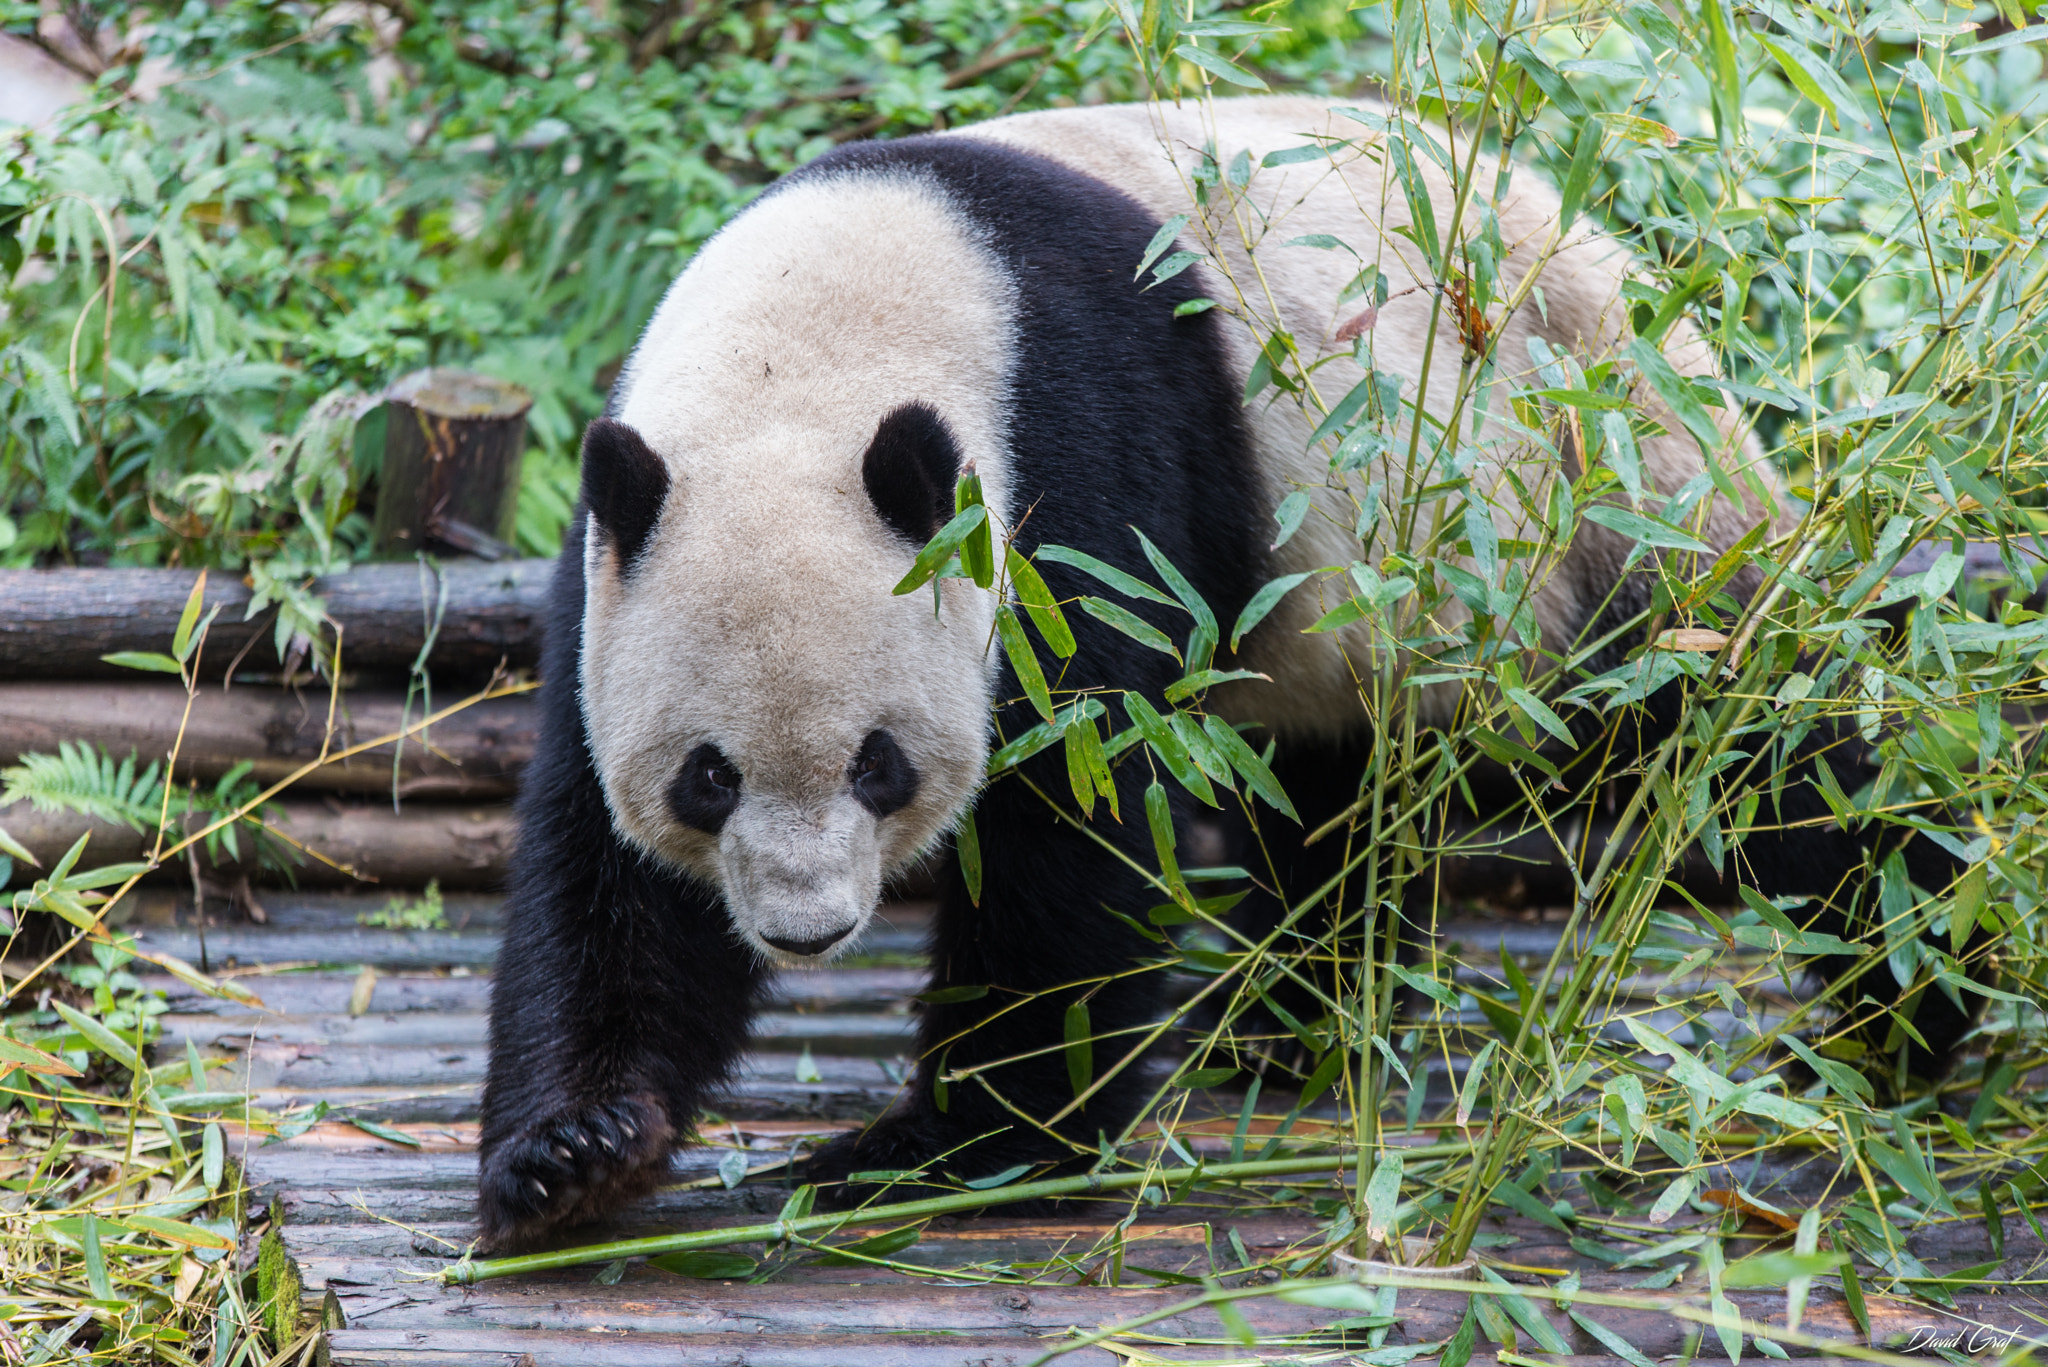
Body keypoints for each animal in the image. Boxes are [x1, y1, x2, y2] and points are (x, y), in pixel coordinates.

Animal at [475, 98, 1966, 1254]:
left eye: (878, 765)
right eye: (707, 777)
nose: (803, 930)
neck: (818, 346)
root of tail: (1600, 244)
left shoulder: (1074, 469)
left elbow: (1072, 823)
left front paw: (946, 1143)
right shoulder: (619, 556)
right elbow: (607, 876)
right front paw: (572, 1152)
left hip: (1583, 508)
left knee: (1742, 748)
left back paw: (1913, 997)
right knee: (1335, 808)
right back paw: (1293, 1028)